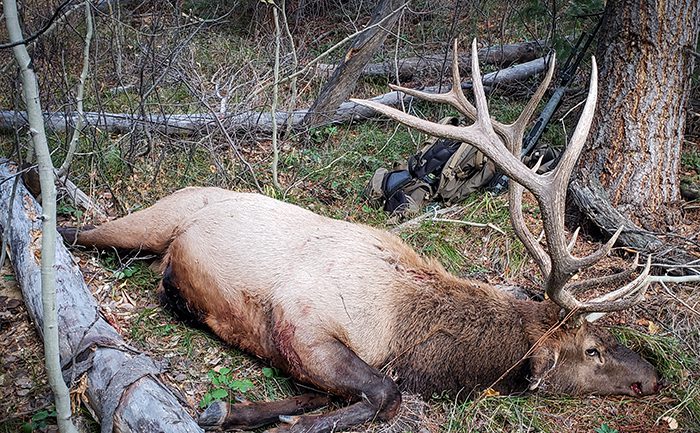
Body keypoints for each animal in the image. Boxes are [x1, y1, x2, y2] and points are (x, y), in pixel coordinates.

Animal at [59, 40, 660, 433]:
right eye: (592, 349)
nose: (653, 376)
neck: (408, 334)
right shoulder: (301, 321)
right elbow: (385, 394)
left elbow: (315, 396)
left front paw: (232, 411)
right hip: (151, 221)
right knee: (76, 229)